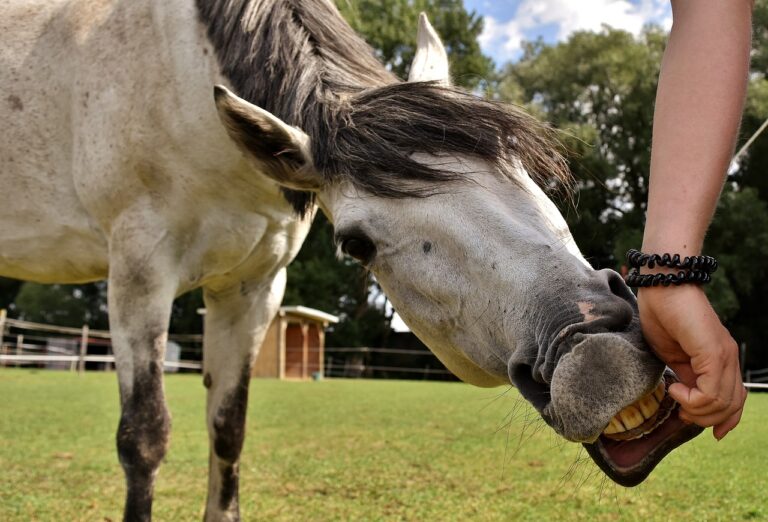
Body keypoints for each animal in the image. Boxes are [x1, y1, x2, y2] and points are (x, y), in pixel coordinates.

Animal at [1, 0, 704, 516]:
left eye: (519, 166)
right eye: (356, 243)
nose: (597, 353)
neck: (178, 83)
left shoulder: (252, 287)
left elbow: (227, 429)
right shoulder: (138, 274)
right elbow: (144, 438)